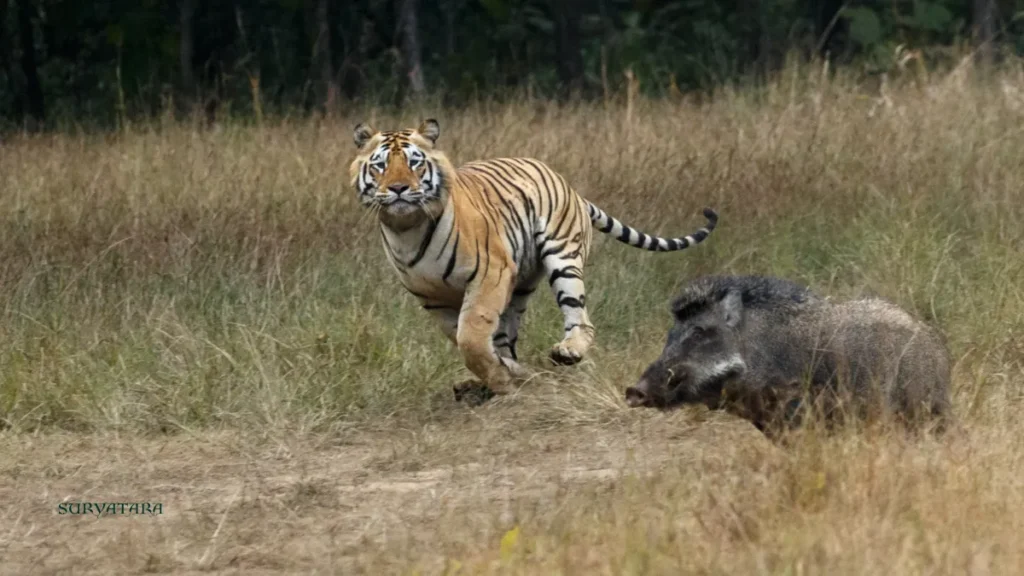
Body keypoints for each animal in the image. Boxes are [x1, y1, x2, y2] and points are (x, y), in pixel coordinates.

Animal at [349, 118, 719, 397]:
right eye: (381, 165)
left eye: (414, 162)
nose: (398, 189)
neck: (406, 229)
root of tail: (569, 185)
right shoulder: (433, 300)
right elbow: (468, 338)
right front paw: (504, 374)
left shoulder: (490, 274)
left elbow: (471, 337)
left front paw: (501, 381)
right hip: (520, 283)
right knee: (507, 335)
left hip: (562, 258)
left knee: (579, 317)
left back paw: (567, 351)